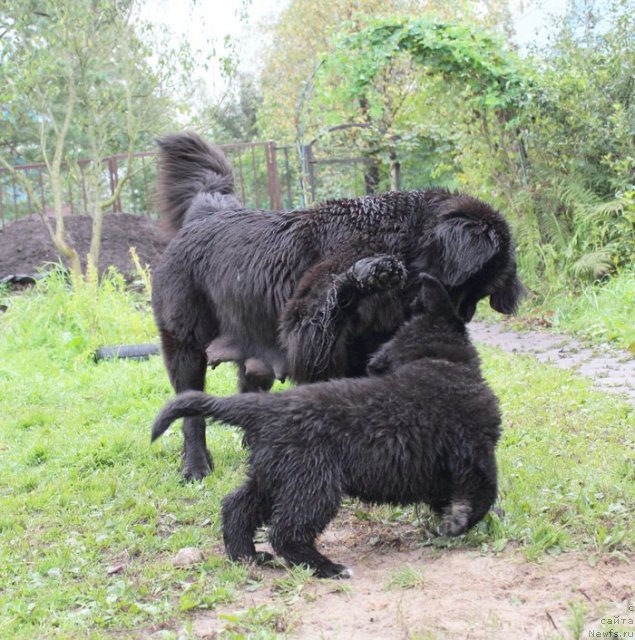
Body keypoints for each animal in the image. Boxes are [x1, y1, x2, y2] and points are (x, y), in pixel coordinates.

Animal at [153, 132, 520, 478]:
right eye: (464, 288)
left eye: (478, 296)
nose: (463, 317)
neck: (403, 239)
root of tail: (206, 215)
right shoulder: (309, 328)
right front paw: (367, 273)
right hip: (185, 347)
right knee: (191, 413)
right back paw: (196, 466)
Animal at [153, 276, 502, 580]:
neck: (438, 359)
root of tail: (266, 408)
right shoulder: (475, 452)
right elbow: (485, 492)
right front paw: (459, 522)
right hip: (314, 481)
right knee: (286, 532)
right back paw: (328, 568)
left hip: (275, 475)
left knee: (236, 507)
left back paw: (248, 556)